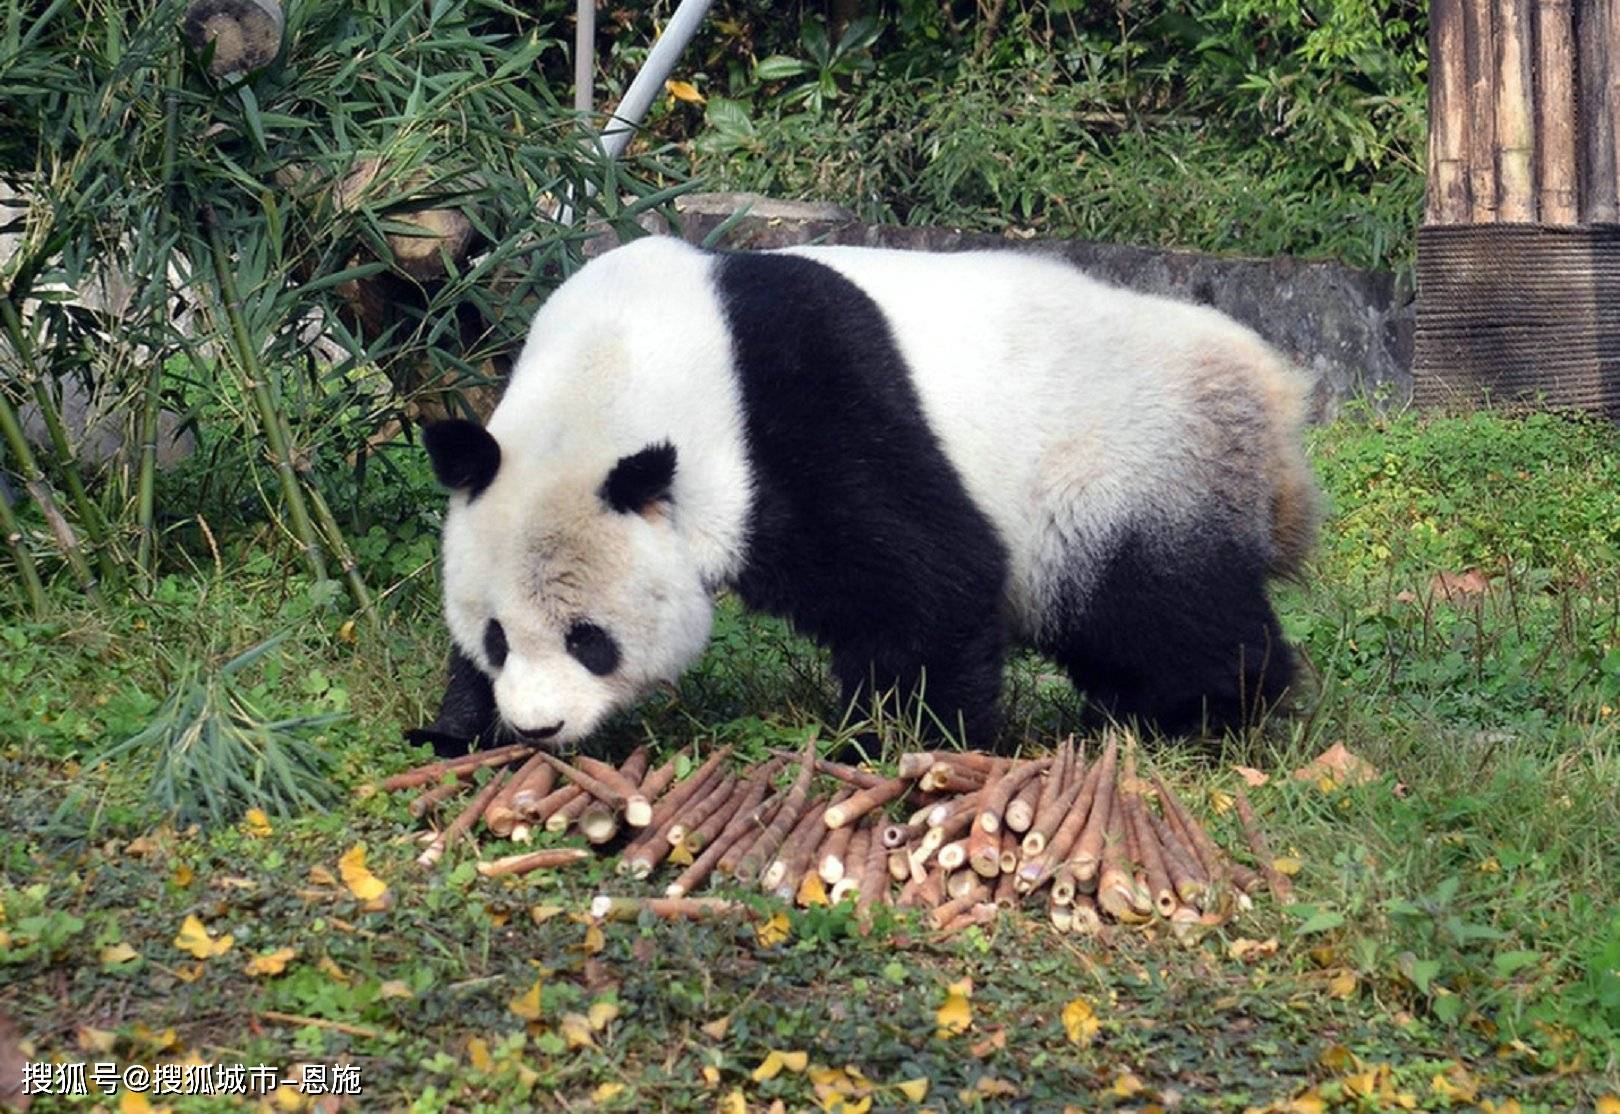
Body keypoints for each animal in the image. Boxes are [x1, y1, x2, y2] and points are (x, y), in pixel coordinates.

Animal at [411, 234, 1321, 757]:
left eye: (589, 639)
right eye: (497, 638)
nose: (539, 726)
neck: (619, 362)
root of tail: (1274, 394)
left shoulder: (798, 411)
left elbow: (932, 574)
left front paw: (900, 747)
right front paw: (454, 731)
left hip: (1124, 468)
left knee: (1158, 606)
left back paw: (1202, 712)